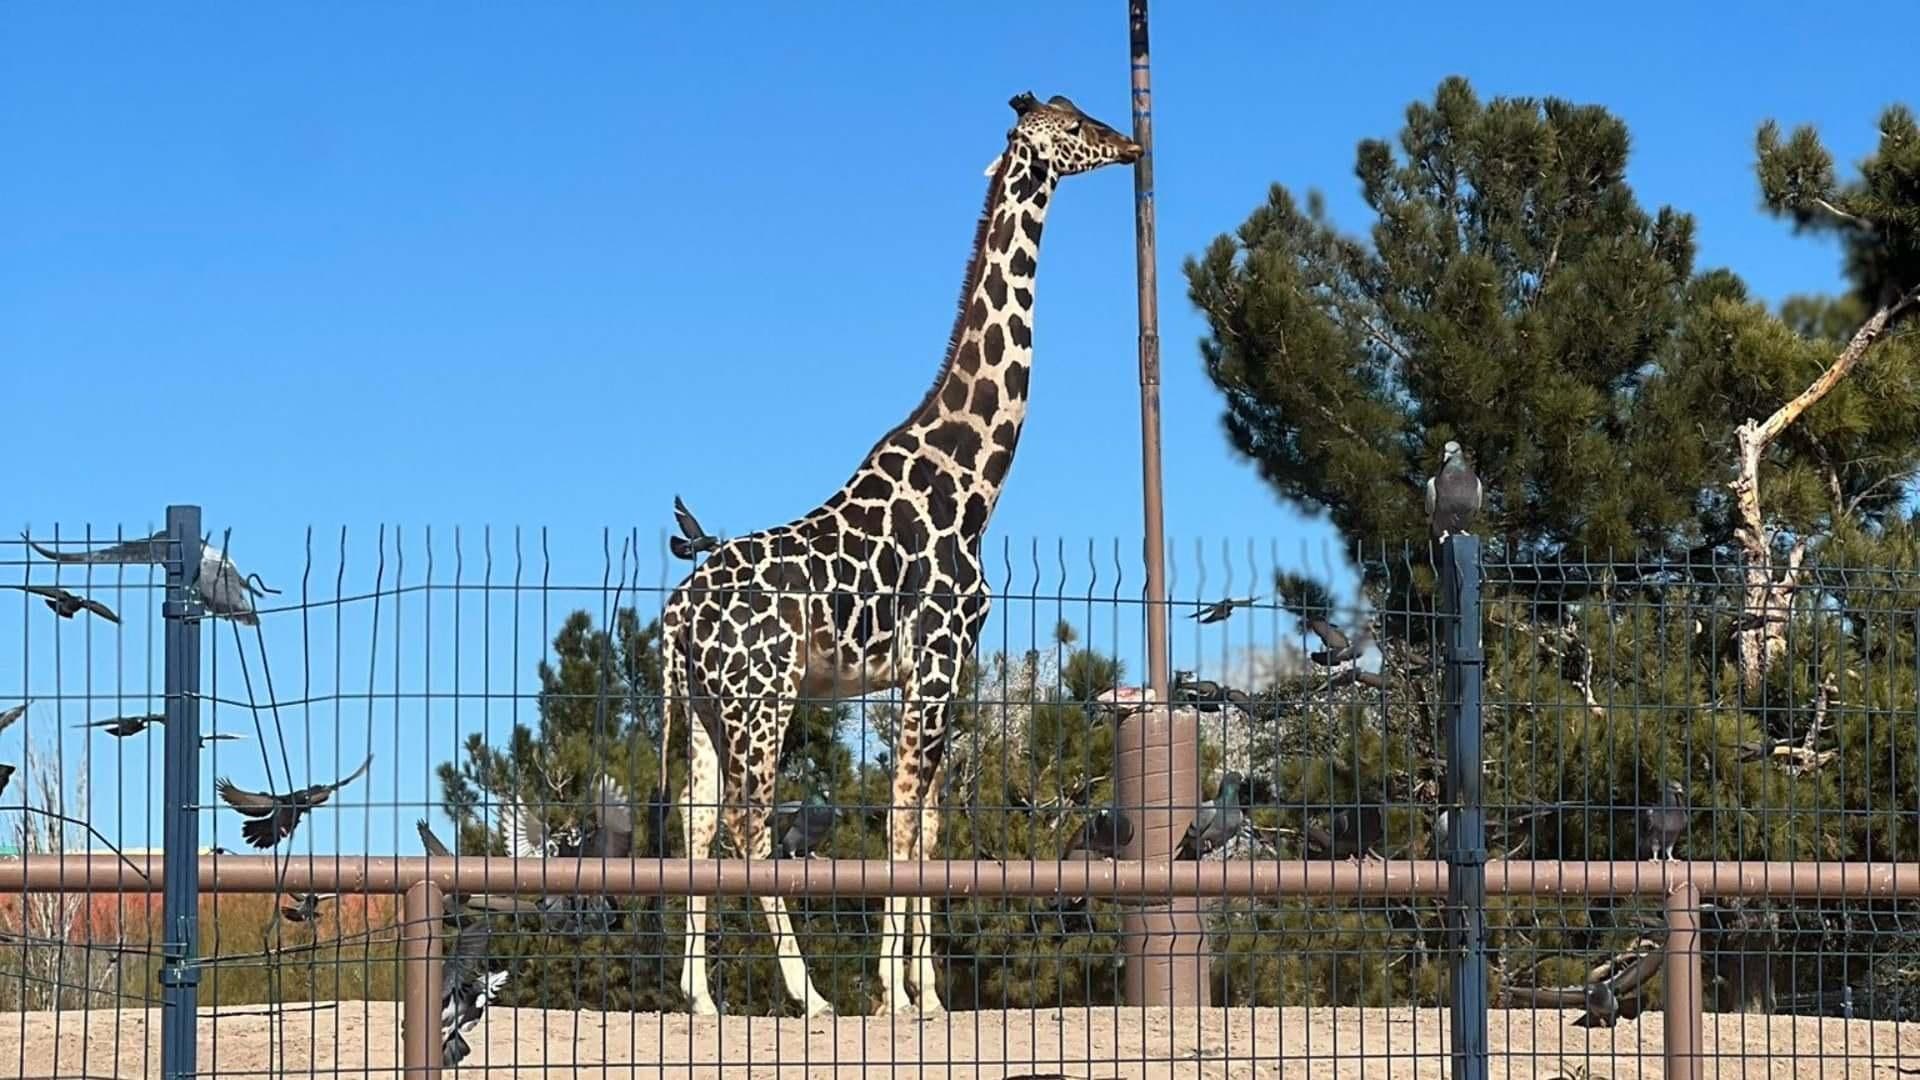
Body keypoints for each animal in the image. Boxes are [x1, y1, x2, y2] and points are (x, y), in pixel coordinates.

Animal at [658, 92, 1142, 1017]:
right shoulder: (939, 657)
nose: (1132, 144)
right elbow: (907, 821)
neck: (975, 479)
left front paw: (928, 997)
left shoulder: (931, 672)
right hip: (762, 699)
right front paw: (900, 995)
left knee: (695, 824)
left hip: (704, 708)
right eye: (1071, 128)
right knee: (747, 823)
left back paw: (702, 1001)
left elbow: (924, 820)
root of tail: (673, 618)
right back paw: (809, 996)